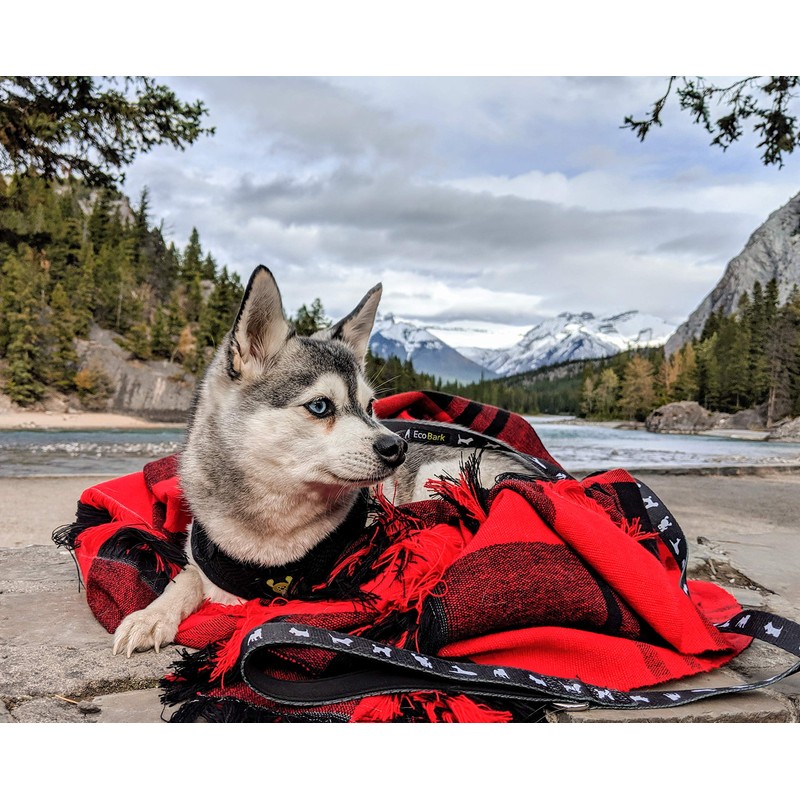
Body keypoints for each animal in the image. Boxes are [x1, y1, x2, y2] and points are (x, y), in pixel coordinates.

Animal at [112, 266, 535, 656]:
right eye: (320, 406)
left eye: (370, 407)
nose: (397, 447)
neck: (273, 531)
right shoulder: (201, 557)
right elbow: (184, 578)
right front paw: (152, 615)